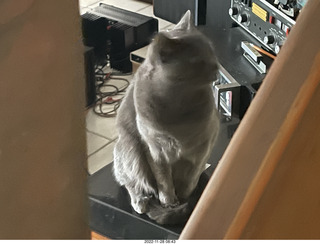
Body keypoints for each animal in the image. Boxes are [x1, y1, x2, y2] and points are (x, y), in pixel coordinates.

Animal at [112, 10, 220, 225]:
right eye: (198, 61)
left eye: (212, 51)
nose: (218, 67)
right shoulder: (154, 148)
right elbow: (163, 179)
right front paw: (169, 201)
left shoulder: (204, 144)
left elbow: (191, 177)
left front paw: (185, 198)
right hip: (130, 148)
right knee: (131, 181)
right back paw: (141, 202)